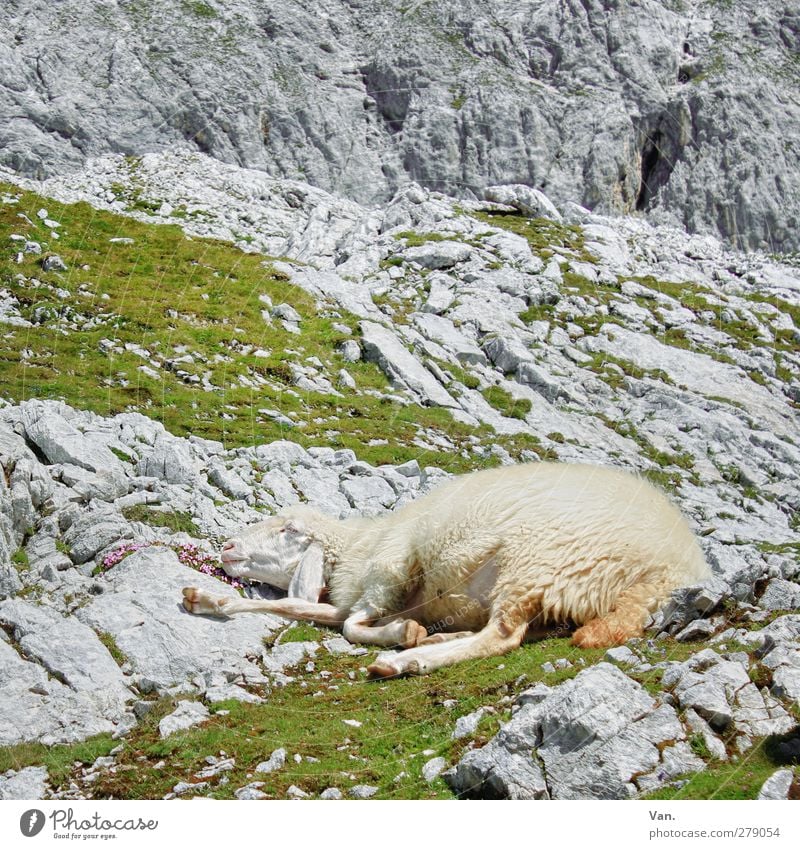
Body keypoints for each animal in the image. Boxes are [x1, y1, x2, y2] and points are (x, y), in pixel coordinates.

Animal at [184, 460, 708, 680]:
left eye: (288, 529)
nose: (227, 546)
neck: (359, 543)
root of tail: (670, 570)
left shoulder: (391, 571)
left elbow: (350, 626)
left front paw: (402, 637)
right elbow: (304, 610)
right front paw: (208, 599)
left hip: (536, 560)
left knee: (502, 637)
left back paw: (405, 660)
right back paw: (438, 640)